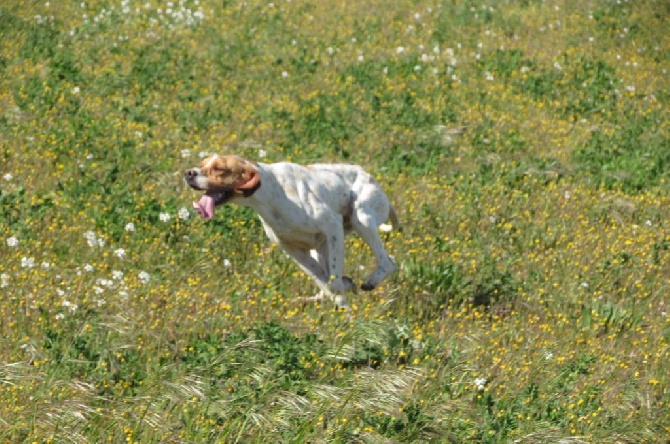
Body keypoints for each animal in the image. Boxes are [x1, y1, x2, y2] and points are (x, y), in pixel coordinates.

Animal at [184, 154, 400, 306]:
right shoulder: (292, 249)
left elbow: (334, 283)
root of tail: (371, 178)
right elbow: (323, 280)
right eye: (202, 164)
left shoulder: (332, 225)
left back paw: (371, 281)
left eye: (219, 169)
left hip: (361, 219)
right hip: (321, 246)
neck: (270, 195)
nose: (188, 173)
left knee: (388, 262)